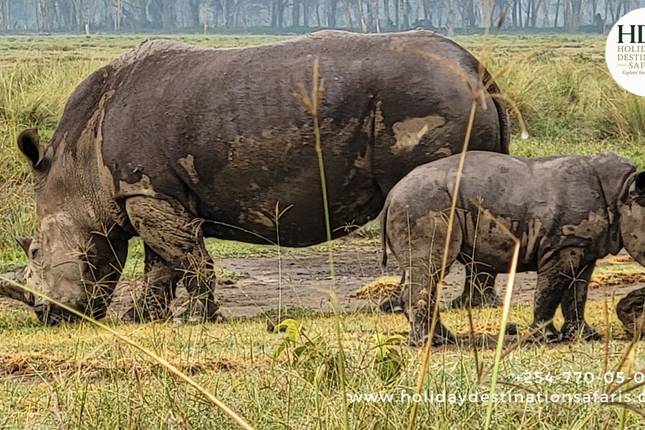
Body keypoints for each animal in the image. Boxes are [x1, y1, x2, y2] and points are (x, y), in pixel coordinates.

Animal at [16, 30, 510, 325]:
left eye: (35, 251)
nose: (46, 314)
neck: (77, 167)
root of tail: (478, 71)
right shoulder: (149, 193)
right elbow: (162, 263)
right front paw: (142, 319)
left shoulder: (146, 190)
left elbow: (184, 258)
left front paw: (196, 319)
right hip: (446, 95)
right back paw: (468, 304)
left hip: (428, 98)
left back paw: (399, 306)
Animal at [381, 151, 645, 346]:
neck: (622, 192)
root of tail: (391, 195)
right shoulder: (561, 246)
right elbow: (549, 291)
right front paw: (544, 339)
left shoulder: (583, 246)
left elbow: (577, 293)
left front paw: (586, 336)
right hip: (421, 202)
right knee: (430, 269)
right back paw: (430, 342)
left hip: (418, 201)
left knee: (426, 272)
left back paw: (444, 339)